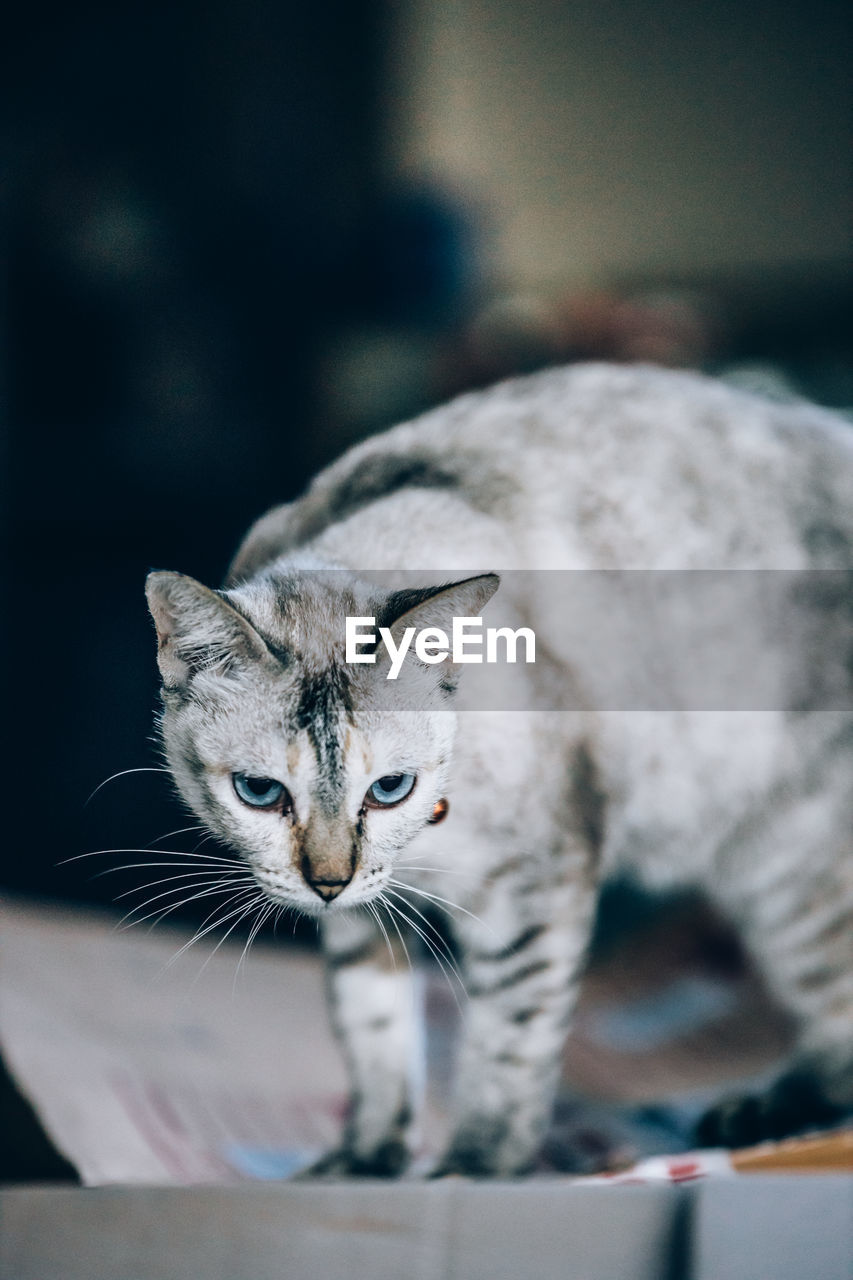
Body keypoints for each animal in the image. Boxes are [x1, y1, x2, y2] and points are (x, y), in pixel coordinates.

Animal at [146, 363, 850, 1177]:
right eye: (259, 793)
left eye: (391, 789)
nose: (328, 883)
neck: (426, 845)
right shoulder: (365, 916)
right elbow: (373, 1033)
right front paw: (367, 1161)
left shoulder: (534, 886)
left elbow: (509, 1042)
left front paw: (474, 1168)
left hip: (786, 869)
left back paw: (762, 1115)